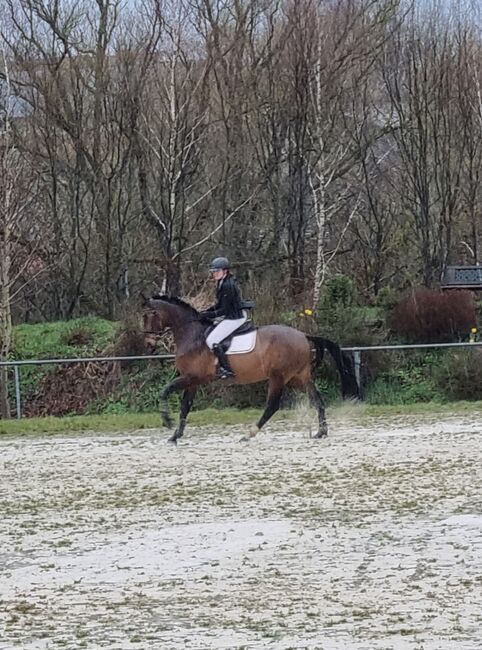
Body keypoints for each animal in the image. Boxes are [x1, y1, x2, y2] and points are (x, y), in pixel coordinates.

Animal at [141, 296, 360, 442]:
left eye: (147, 316)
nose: (148, 344)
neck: (191, 335)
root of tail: (303, 335)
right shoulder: (193, 381)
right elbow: (185, 406)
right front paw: (175, 435)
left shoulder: (191, 377)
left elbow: (165, 391)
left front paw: (167, 422)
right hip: (298, 377)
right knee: (317, 399)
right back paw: (321, 432)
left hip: (278, 377)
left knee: (272, 405)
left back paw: (249, 433)